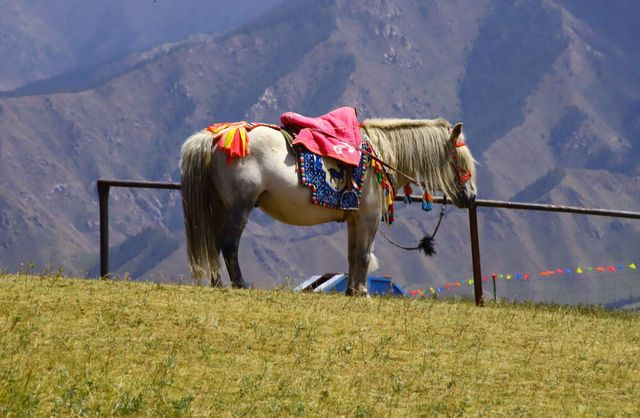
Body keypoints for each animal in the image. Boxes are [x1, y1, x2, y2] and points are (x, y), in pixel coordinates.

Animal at [180, 116, 476, 296]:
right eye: (460, 161)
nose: (471, 197)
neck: (380, 155)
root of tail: (219, 136)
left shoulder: (354, 219)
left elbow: (353, 255)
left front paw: (352, 292)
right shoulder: (368, 218)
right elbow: (364, 255)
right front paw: (363, 293)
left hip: (220, 206)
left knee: (213, 243)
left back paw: (218, 284)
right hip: (239, 206)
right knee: (229, 243)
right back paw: (240, 285)